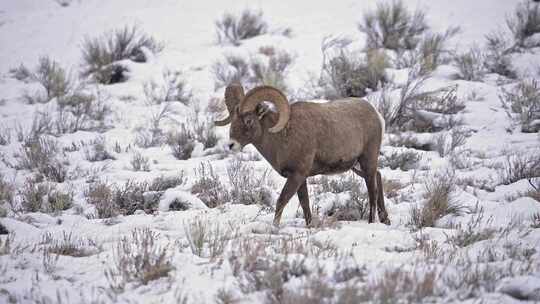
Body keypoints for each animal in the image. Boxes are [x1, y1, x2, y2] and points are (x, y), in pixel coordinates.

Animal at [214, 83, 388, 226]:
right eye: (232, 120)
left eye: (249, 120)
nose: (231, 145)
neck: (282, 137)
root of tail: (376, 114)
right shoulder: (301, 178)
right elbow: (305, 204)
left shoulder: (296, 175)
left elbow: (282, 201)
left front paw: (275, 227)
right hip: (357, 166)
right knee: (378, 177)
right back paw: (385, 219)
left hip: (367, 161)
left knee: (372, 191)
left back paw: (372, 222)